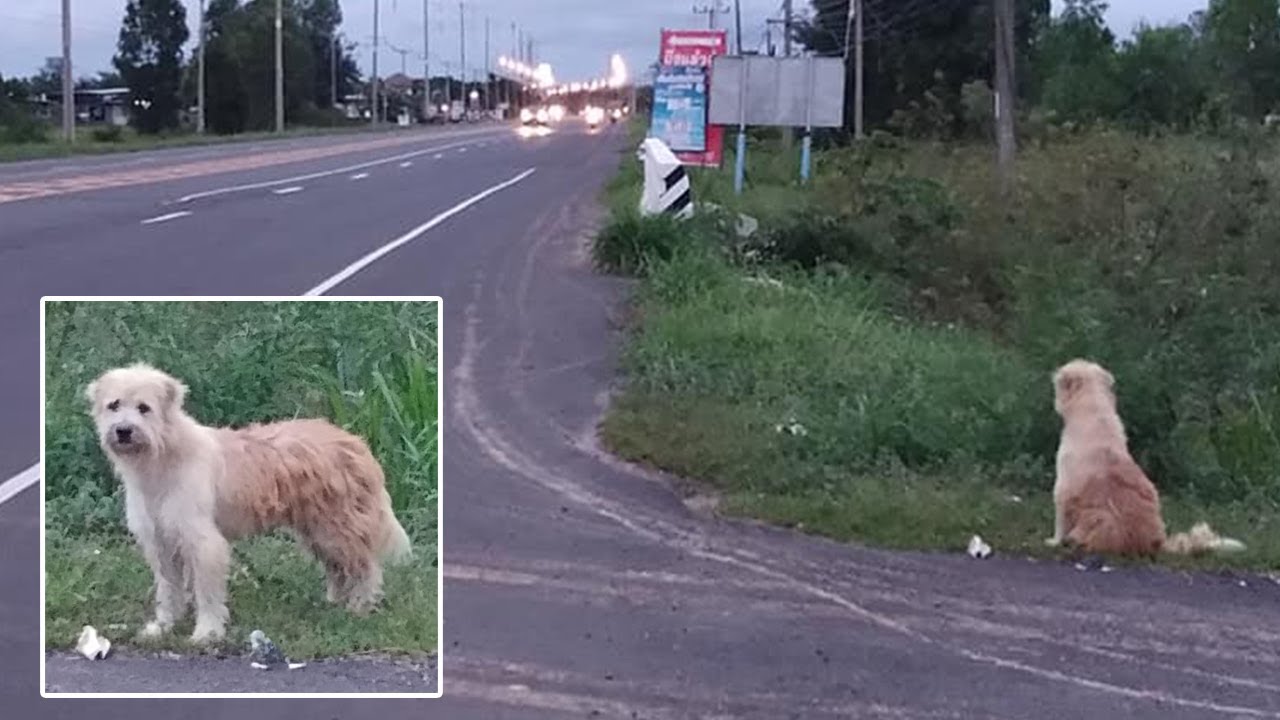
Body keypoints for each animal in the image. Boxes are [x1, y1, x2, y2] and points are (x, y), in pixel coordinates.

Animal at [87, 361, 407, 640]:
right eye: (114, 405)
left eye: (144, 408)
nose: (123, 431)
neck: (163, 456)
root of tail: (355, 442)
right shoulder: (161, 542)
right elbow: (168, 590)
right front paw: (163, 626)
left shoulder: (203, 542)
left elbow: (207, 593)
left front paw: (207, 632)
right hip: (317, 530)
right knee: (339, 567)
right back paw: (335, 601)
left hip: (337, 527)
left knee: (365, 566)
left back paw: (361, 606)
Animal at [1049, 358, 1239, 556]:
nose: (1055, 373)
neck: (1094, 409)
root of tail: (1159, 543)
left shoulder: (1063, 489)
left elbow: (1060, 522)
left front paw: (1054, 542)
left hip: (1103, 519)